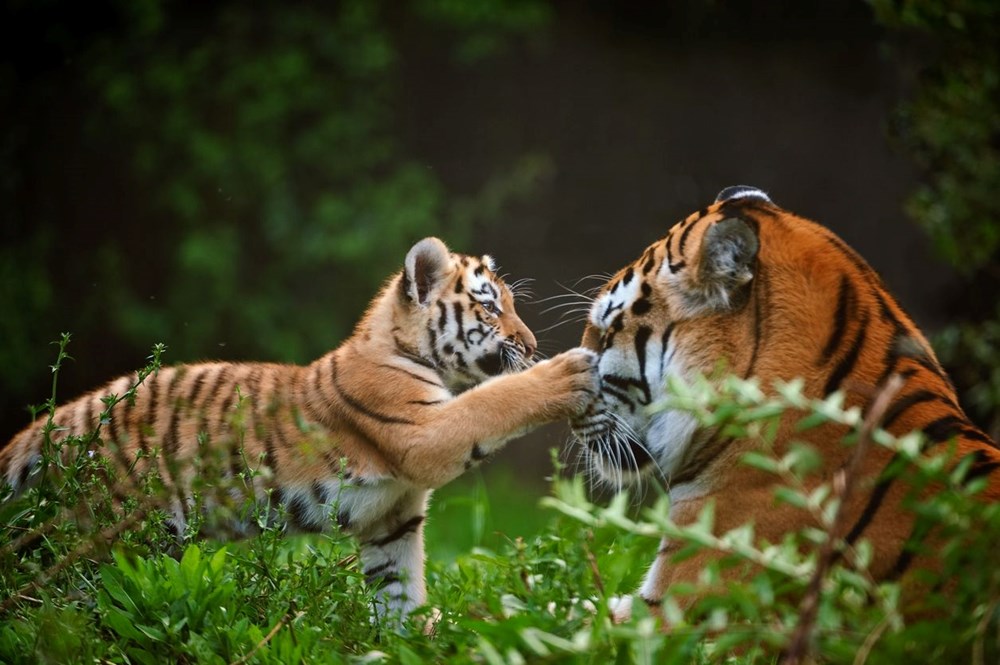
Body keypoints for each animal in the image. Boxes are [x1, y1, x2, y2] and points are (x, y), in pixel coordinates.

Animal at [1, 237, 592, 624]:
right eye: (489, 308)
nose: (532, 345)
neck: (408, 351)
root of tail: (64, 419)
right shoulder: (424, 431)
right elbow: (494, 401)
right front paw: (566, 371)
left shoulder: (394, 517)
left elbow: (399, 588)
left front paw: (411, 640)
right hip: (105, 536)